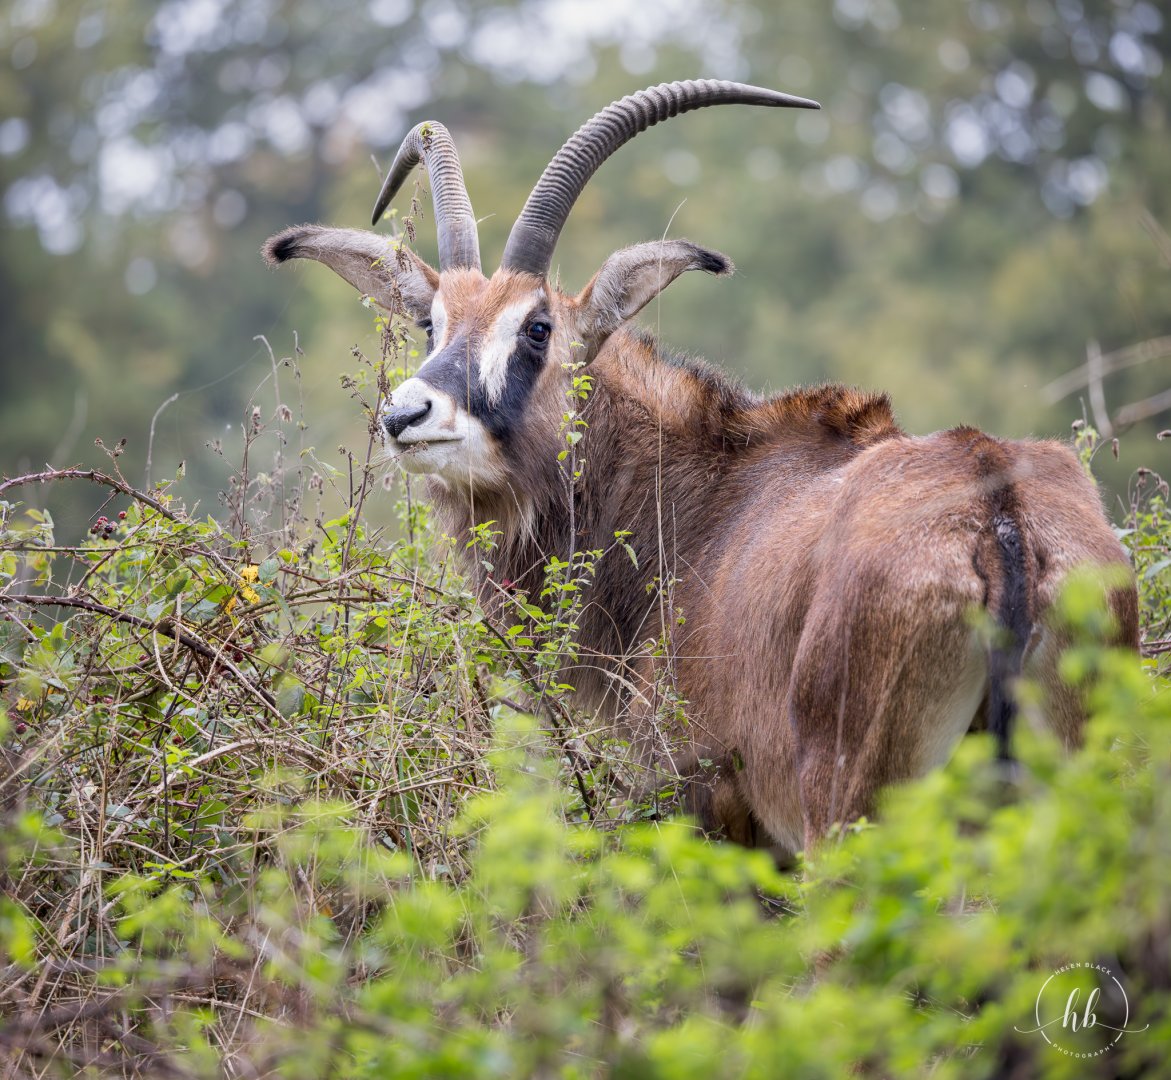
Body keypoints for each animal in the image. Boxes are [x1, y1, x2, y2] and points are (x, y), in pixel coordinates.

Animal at [264, 80, 1138, 855]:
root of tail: (999, 519)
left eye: (537, 327)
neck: (699, 493)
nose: (406, 415)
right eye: (430, 322)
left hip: (849, 815)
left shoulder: (706, 800)